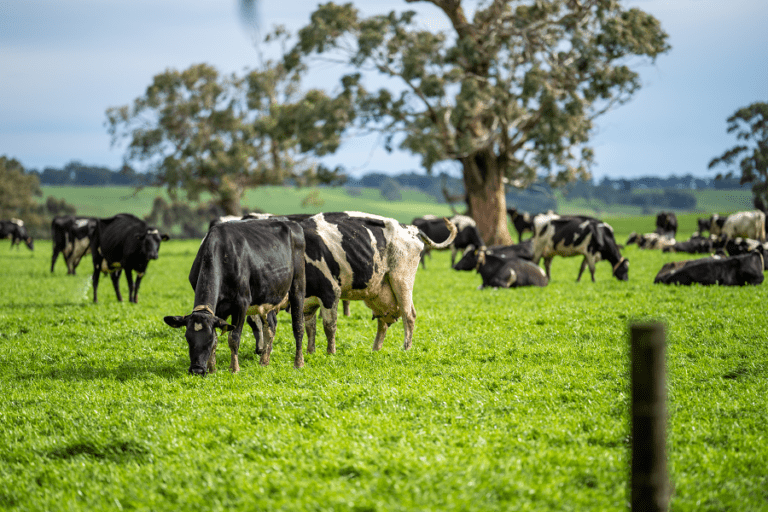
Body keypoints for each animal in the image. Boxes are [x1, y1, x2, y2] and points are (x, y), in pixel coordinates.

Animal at [163, 218, 306, 374]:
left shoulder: (241, 303)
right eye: (188, 338)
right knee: (271, 327)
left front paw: (234, 368)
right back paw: (264, 361)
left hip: (298, 287)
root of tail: (290, 222)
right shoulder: (219, 308)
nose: (197, 370)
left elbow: (233, 337)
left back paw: (298, 363)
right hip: (268, 297)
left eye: (208, 339)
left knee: (298, 327)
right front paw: (212, 369)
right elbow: (218, 338)